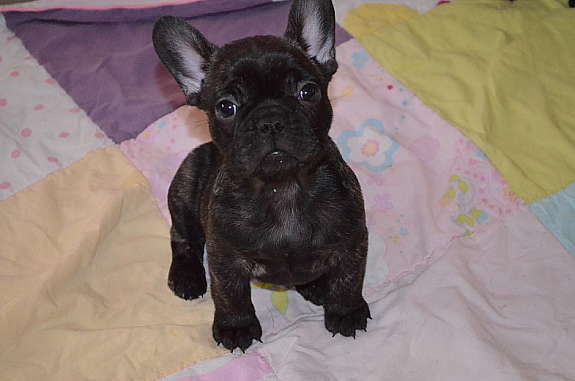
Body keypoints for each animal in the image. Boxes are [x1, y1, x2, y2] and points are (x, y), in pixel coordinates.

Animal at [152, 0, 368, 350]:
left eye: (308, 92)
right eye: (226, 107)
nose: (270, 120)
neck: (283, 188)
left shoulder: (352, 241)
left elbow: (349, 278)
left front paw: (346, 310)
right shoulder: (225, 257)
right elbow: (230, 294)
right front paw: (236, 327)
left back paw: (317, 286)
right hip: (184, 187)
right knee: (182, 237)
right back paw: (186, 277)